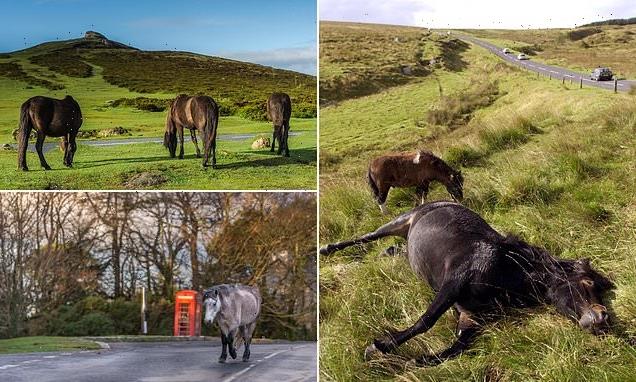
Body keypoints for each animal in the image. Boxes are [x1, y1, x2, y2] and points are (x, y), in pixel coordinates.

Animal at [322, 201, 616, 366]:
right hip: (399, 222)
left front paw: (413, 361)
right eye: (587, 282)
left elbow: (455, 349)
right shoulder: (453, 283)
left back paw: (386, 253)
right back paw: (328, 248)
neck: (505, 270)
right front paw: (378, 347)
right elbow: (426, 321)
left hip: (408, 242)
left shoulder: (470, 317)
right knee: (368, 236)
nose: (602, 318)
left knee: (398, 249)